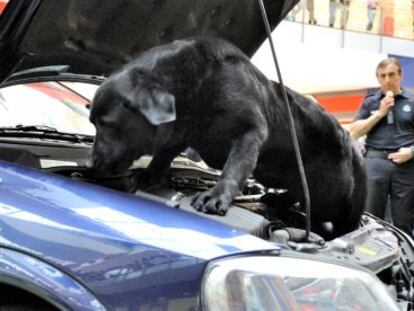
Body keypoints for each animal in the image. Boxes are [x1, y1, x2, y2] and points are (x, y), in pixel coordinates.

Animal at [88, 36, 366, 238]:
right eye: (93, 123)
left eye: (107, 125)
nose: (89, 164)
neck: (195, 85)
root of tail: (350, 141)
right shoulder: (182, 132)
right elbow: (164, 154)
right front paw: (148, 174)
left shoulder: (250, 131)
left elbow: (235, 166)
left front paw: (215, 196)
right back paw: (276, 197)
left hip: (327, 194)